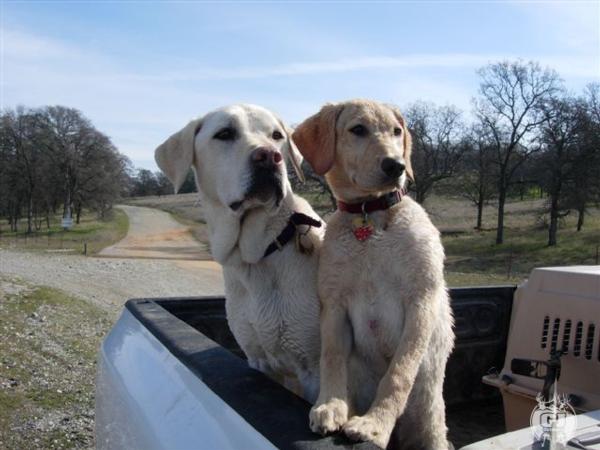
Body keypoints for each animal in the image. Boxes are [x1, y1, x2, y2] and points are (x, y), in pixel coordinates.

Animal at [155, 104, 324, 401]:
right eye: (224, 133)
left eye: (277, 135)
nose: (269, 156)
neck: (256, 254)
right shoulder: (258, 360)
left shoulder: (314, 370)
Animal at [293, 99, 454, 449]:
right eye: (358, 129)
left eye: (396, 131)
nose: (396, 166)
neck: (370, 216)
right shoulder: (334, 304)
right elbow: (332, 357)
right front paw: (331, 405)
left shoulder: (421, 300)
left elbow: (399, 373)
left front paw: (376, 423)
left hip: (431, 424)